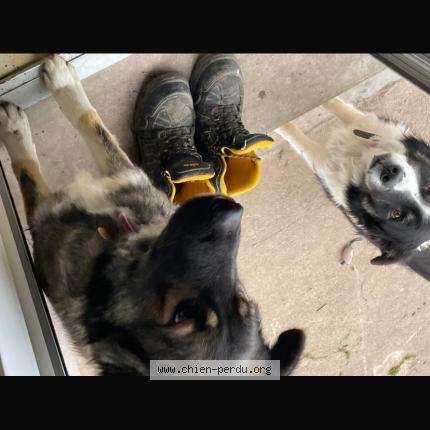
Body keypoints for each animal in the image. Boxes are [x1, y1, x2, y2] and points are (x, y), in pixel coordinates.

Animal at [0, 55, 304, 376]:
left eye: (182, 314)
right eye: (242, 301)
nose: (231, 210)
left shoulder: (42, 217)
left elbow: (29, 168)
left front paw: (17, 124)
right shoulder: (125, 176)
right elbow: (90, 121)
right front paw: (64, 84)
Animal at [277, 98, 430, 280]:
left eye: (396, 214)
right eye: (429, 186)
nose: (390, 172)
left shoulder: (323, 164)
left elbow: (298, 140)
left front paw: (280, 127)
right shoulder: (363, 123)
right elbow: (336, 104)